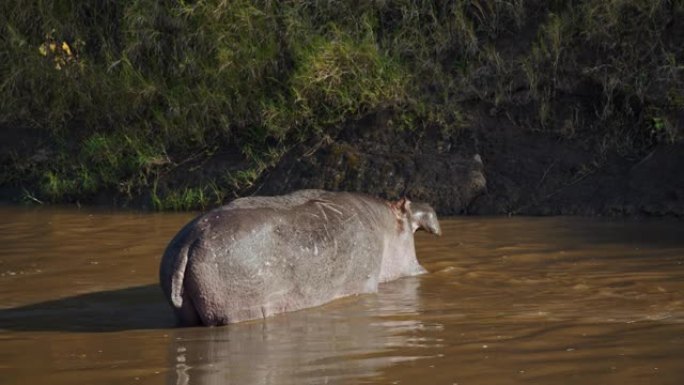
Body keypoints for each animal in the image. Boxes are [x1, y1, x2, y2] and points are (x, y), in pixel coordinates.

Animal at [158, 189, 440, 324]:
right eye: (411, 232)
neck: (384, 224)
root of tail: (189, 241)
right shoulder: (364, 284)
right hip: (235, 310)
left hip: (186, 311)